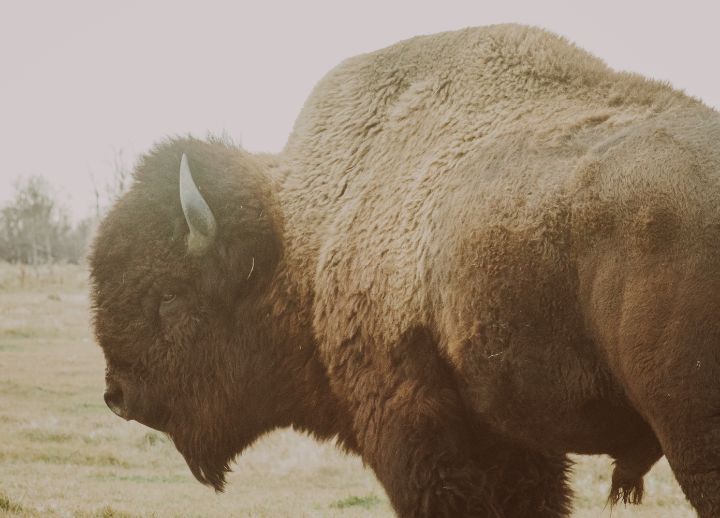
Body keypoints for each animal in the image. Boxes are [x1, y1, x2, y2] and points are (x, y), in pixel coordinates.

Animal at [90, 24, 720, 518]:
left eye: (170, 299)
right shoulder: (511, 439)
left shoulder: (418, 428)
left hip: (694, 442)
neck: (305, 235)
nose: (118, 396)